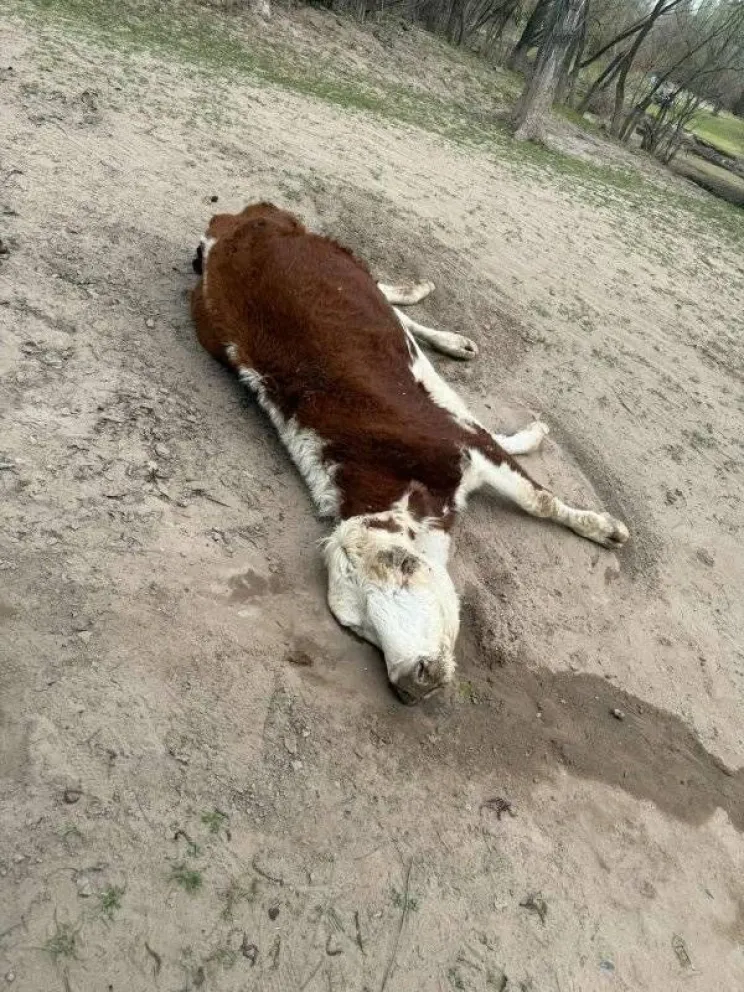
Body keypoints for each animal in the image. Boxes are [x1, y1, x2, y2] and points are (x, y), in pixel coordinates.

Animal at [191, 202, 629, 704]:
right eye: (355, 624)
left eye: (403, 566)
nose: (410, 678)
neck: (395, 470)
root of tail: (232, 220)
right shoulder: (465, 438)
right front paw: (533, 438)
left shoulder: (463, 440)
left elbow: (537, 497)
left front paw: (603, 528)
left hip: (330, 249)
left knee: (380, 287)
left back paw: (436, 317)